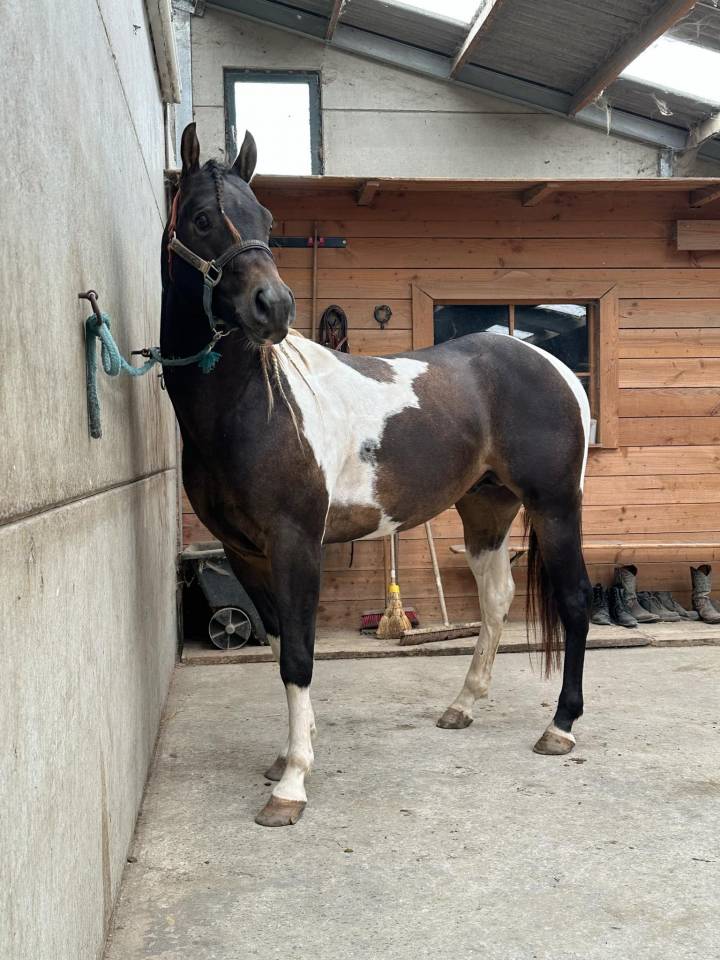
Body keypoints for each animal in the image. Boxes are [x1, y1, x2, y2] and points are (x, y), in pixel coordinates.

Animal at [161, 122, 592, 828]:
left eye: (266, 220)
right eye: (201, 218)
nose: (272, 306)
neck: (257, 404)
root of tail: (550, 364)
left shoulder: (296, 543)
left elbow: (300, 655)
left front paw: (291, 786)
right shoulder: (245, 551)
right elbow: (278, 646)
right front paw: (288, 755)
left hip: (556, 505)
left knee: (577, 601)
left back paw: (560, 728)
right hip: (487, 509)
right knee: (497, 600)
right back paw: (462, 706)